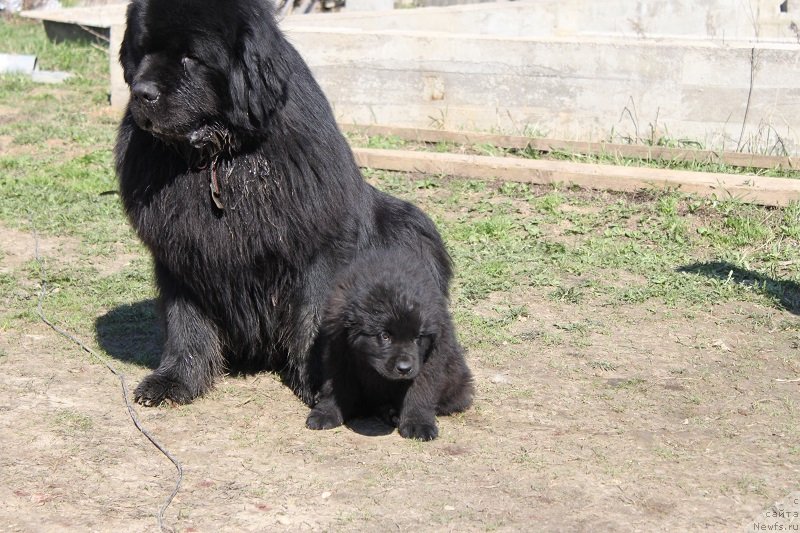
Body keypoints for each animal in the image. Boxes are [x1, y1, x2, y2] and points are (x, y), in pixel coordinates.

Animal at [114, 0, 450, 406]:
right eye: (141, 52)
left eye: (190, 57)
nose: (141, 92)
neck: (222, 158)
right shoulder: (180, 252)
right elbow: (185, 321)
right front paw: (174, 380)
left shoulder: (318, 247)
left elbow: (314, 315)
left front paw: (323, 384)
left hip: (408, 225)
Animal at [304, 247, 468, 438]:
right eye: (385, 336)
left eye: (418, 337)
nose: (404, 368)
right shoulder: (337, 348)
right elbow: (335, 384)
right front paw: (326, 412)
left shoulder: (430, 357)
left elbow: (420, 389)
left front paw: (418, 424)